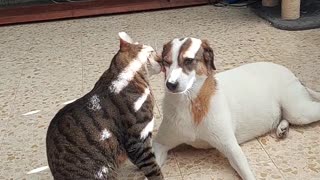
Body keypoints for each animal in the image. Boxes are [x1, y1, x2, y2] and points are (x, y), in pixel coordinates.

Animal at [153, 37, 320, 179]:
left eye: (188, 61)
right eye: (166, 62)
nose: (170, 85)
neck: (191, 102)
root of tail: (291, 73)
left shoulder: (231, 148)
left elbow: (247, 173)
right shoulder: (160, 144)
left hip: (299, 112)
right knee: (284, 117)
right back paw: (282, 128)